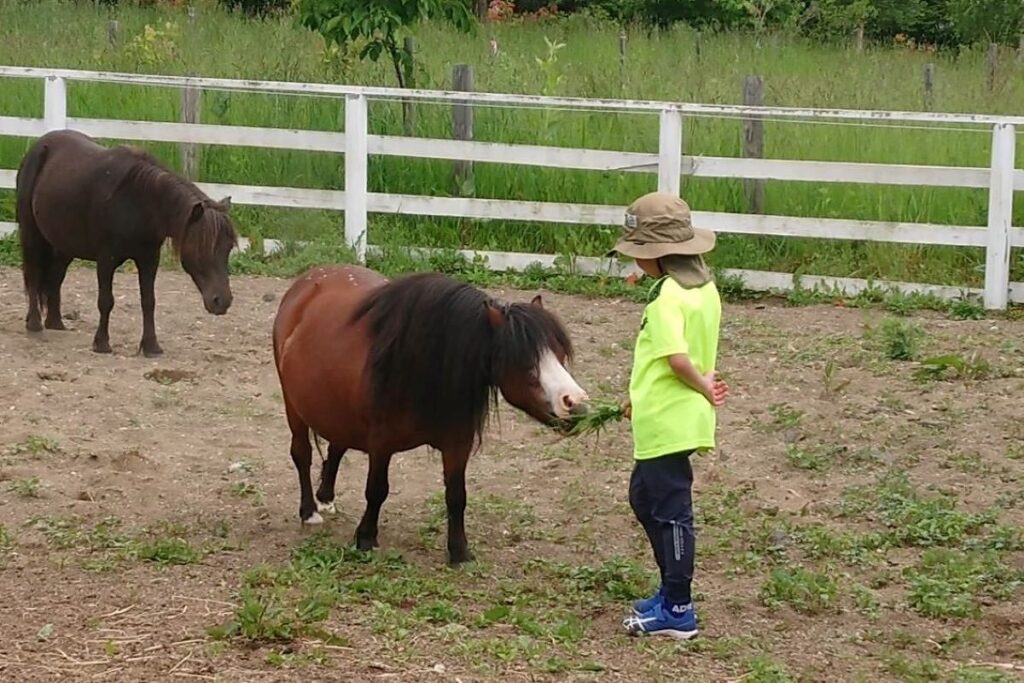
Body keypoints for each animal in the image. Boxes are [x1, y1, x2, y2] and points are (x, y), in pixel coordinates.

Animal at [14, 129, 237, 357]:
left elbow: (148, 301)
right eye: (201, 248)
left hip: (64, 244)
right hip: (32, 234)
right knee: (33, 274)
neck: (137, 201)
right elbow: (106, 301)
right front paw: (101, 343)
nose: (222, 301)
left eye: (228, 248)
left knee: (54, 278)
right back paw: (34, 324)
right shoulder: (106, 259)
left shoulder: (149, 259)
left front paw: (151, 346)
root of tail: (40, 145)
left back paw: (55, 323)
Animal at [272, 264, 590, 566]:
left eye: (560, 354)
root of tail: (309, 281)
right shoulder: (381, 444)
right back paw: (310, 511)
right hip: (293, 405)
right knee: (302, 453)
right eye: (525, 363)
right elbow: (377, 490)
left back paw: (325, 497)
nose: (576, 405)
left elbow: (456, 496)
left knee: (337, 445)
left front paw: (459, 552)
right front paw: (366, 538)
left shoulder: (457, 445)